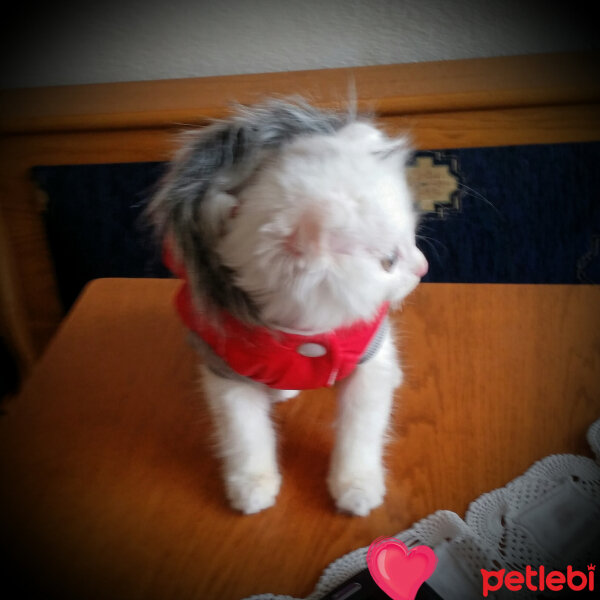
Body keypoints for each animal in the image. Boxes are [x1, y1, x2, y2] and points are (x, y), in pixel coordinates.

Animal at [149, 101, 426, 512]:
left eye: (413, 238)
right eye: (389, 261)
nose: (424, 267)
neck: (305, 329)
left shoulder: (366, 362)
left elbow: (360, 432)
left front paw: (355, 486)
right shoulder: (227, 373)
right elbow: (245, 435)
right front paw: (252, 485)